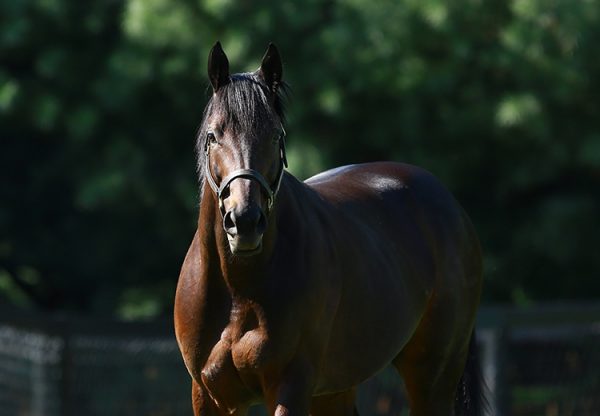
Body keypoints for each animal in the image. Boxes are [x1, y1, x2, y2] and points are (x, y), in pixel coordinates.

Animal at [172, 42, 482, 416]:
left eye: (276, 135)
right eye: (213, 135)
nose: (244, 220)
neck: (237, 291)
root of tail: (451, 207)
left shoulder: (290, 386)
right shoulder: (209, 396)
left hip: (432, 379)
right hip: (335, 389)